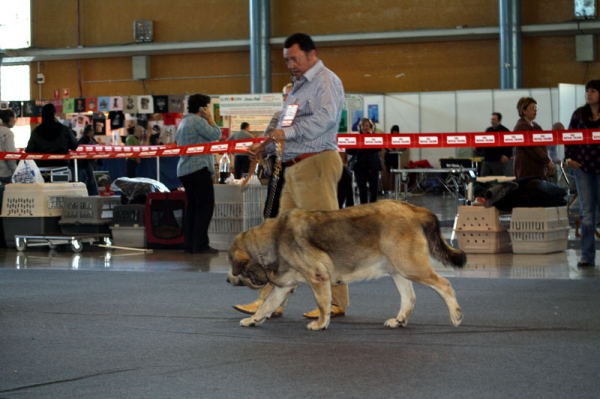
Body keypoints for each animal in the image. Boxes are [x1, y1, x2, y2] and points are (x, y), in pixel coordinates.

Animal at [227, 200, 466, 332]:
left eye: (230, 262)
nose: (227, 280)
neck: (273, 240)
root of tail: (415, 209)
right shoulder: (282, 287)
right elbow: (266, 305)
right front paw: (253, 320)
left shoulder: (318, 278)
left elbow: (323, 304)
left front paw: (321, 324)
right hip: (397, 270)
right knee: (409, 297)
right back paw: (399, 320)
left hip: (409, 266)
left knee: (444, 284)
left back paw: (456, 315)